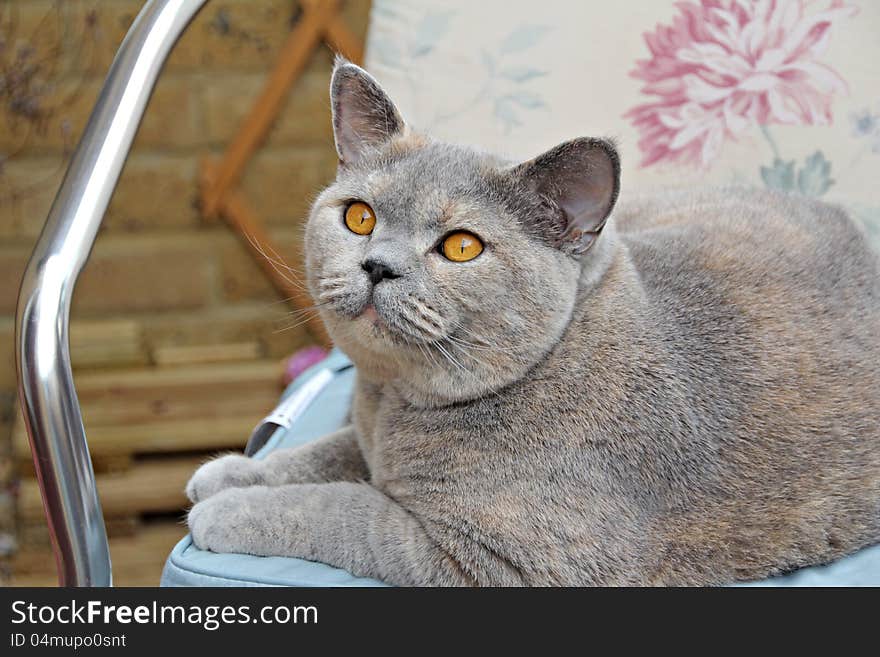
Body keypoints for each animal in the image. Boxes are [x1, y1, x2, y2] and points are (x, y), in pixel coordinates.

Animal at [187, 60, 880, 584]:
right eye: (359, 217)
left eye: (461, 247)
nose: (378, 265)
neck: (395, 403)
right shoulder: (366, 439)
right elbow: (326, 451)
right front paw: (232, 472)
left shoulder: (499, 562)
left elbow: (343, 509)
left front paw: (230, 511)